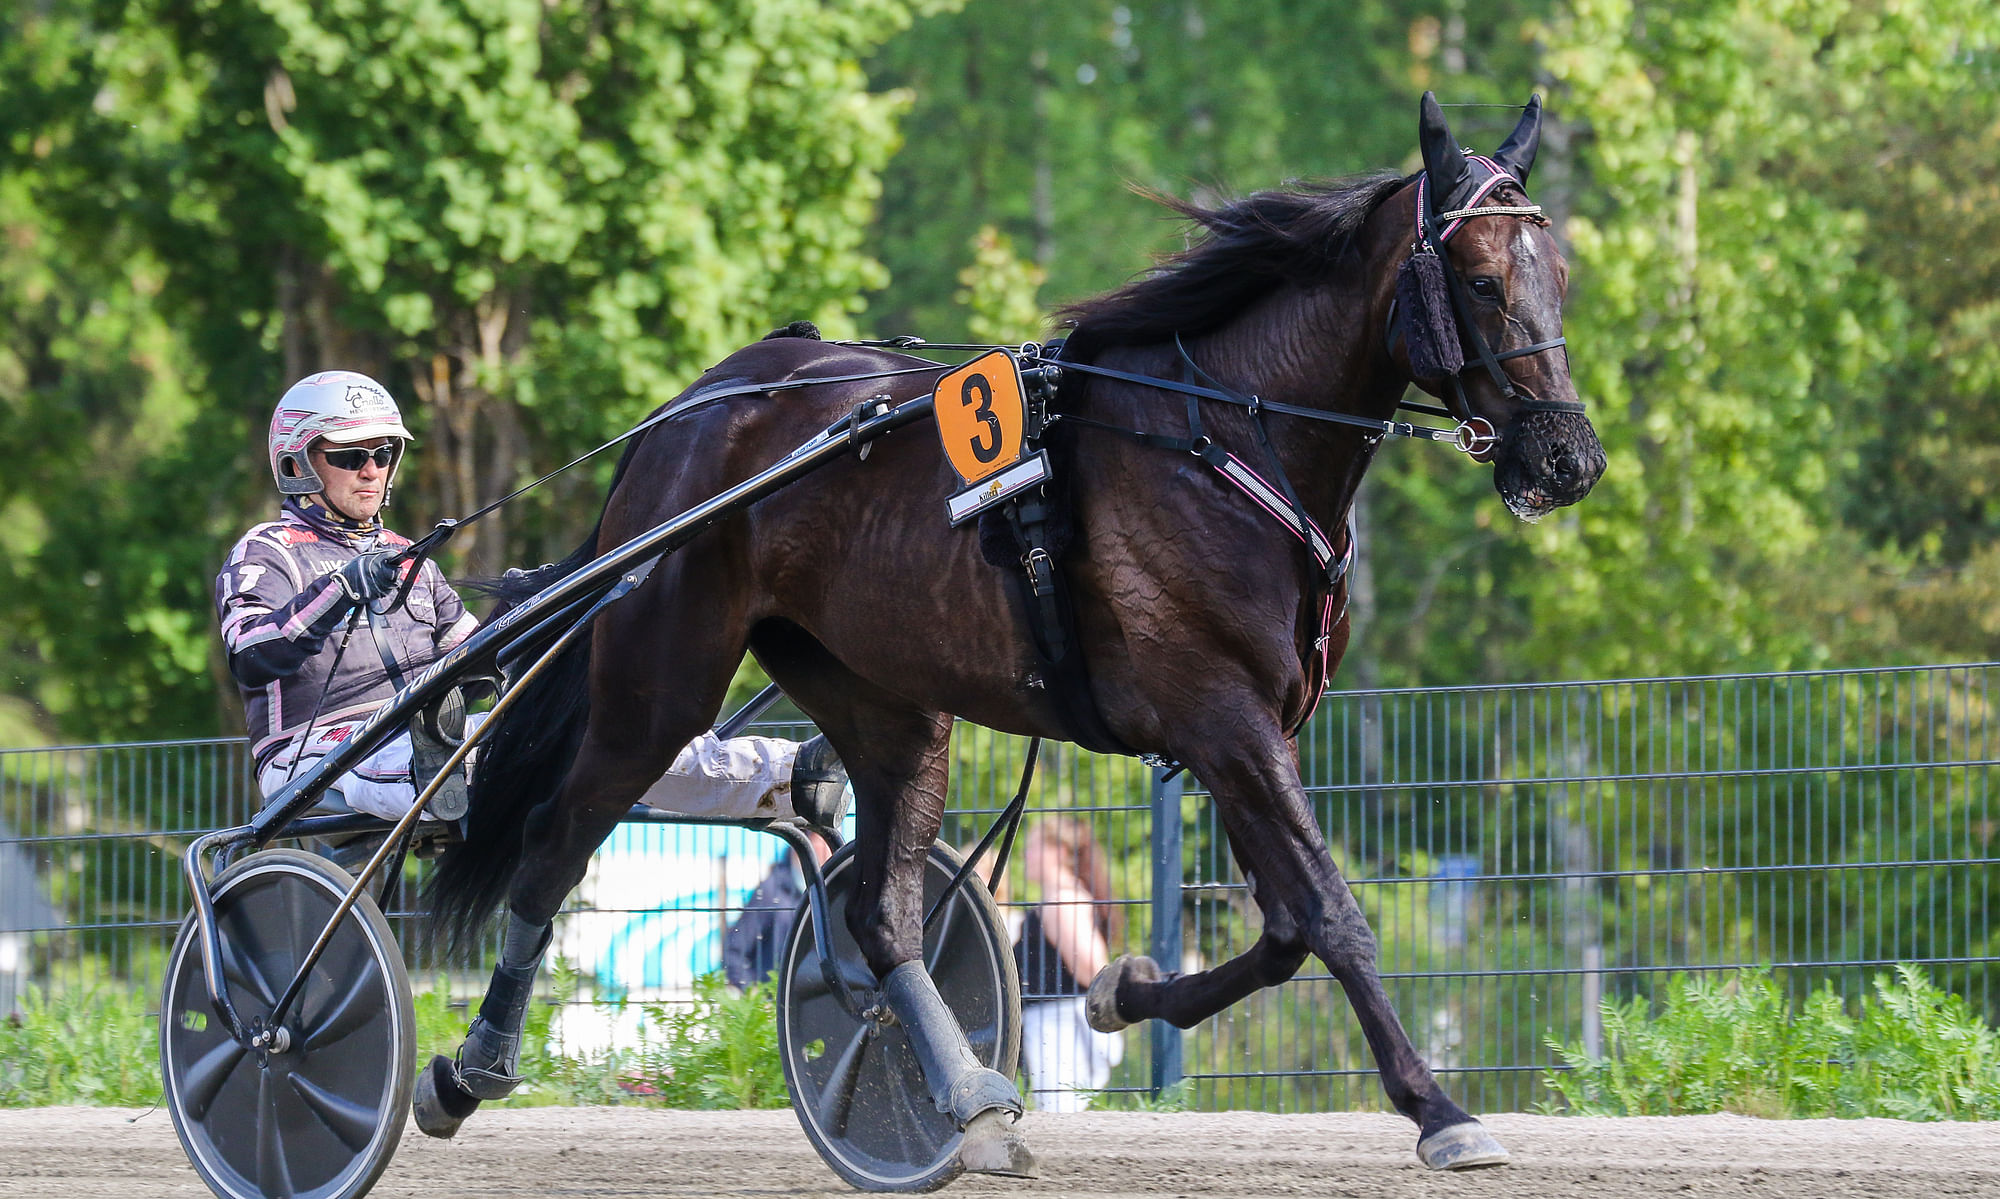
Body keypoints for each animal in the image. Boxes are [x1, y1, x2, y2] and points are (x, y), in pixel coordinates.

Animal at [422, 93, 1608, 1183]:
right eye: (1482, 280)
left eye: (1558, 274)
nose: (1568, 459)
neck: (1226, 437)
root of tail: (699, 405)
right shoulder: (1223, 719)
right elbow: (1329, 912)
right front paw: (1438, 1109)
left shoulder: (1248, 731)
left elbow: (1280, 928)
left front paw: (1124, 989)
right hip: (659, 677)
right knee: (554, 841)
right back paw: (466, 1067)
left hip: (884, 700)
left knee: (882, 916)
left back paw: (967, 1103)